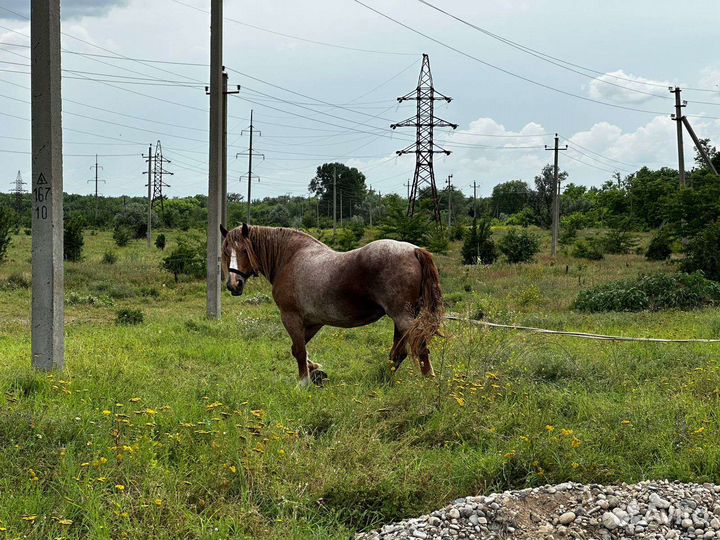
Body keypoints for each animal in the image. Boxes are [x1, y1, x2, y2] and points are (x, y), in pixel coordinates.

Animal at [220, 224, 444, 386]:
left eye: (244, 251)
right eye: (226, 252)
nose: (233, 285)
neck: (290, 258)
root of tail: (414, 250)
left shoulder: (291, 317)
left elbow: (299, 351)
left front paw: (303, 383)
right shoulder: (314, 322)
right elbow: (297, 349)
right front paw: (317, 371)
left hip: (403, 318)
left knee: (420, 348)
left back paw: (428, 383)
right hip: (400, 319)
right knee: (399, 353)